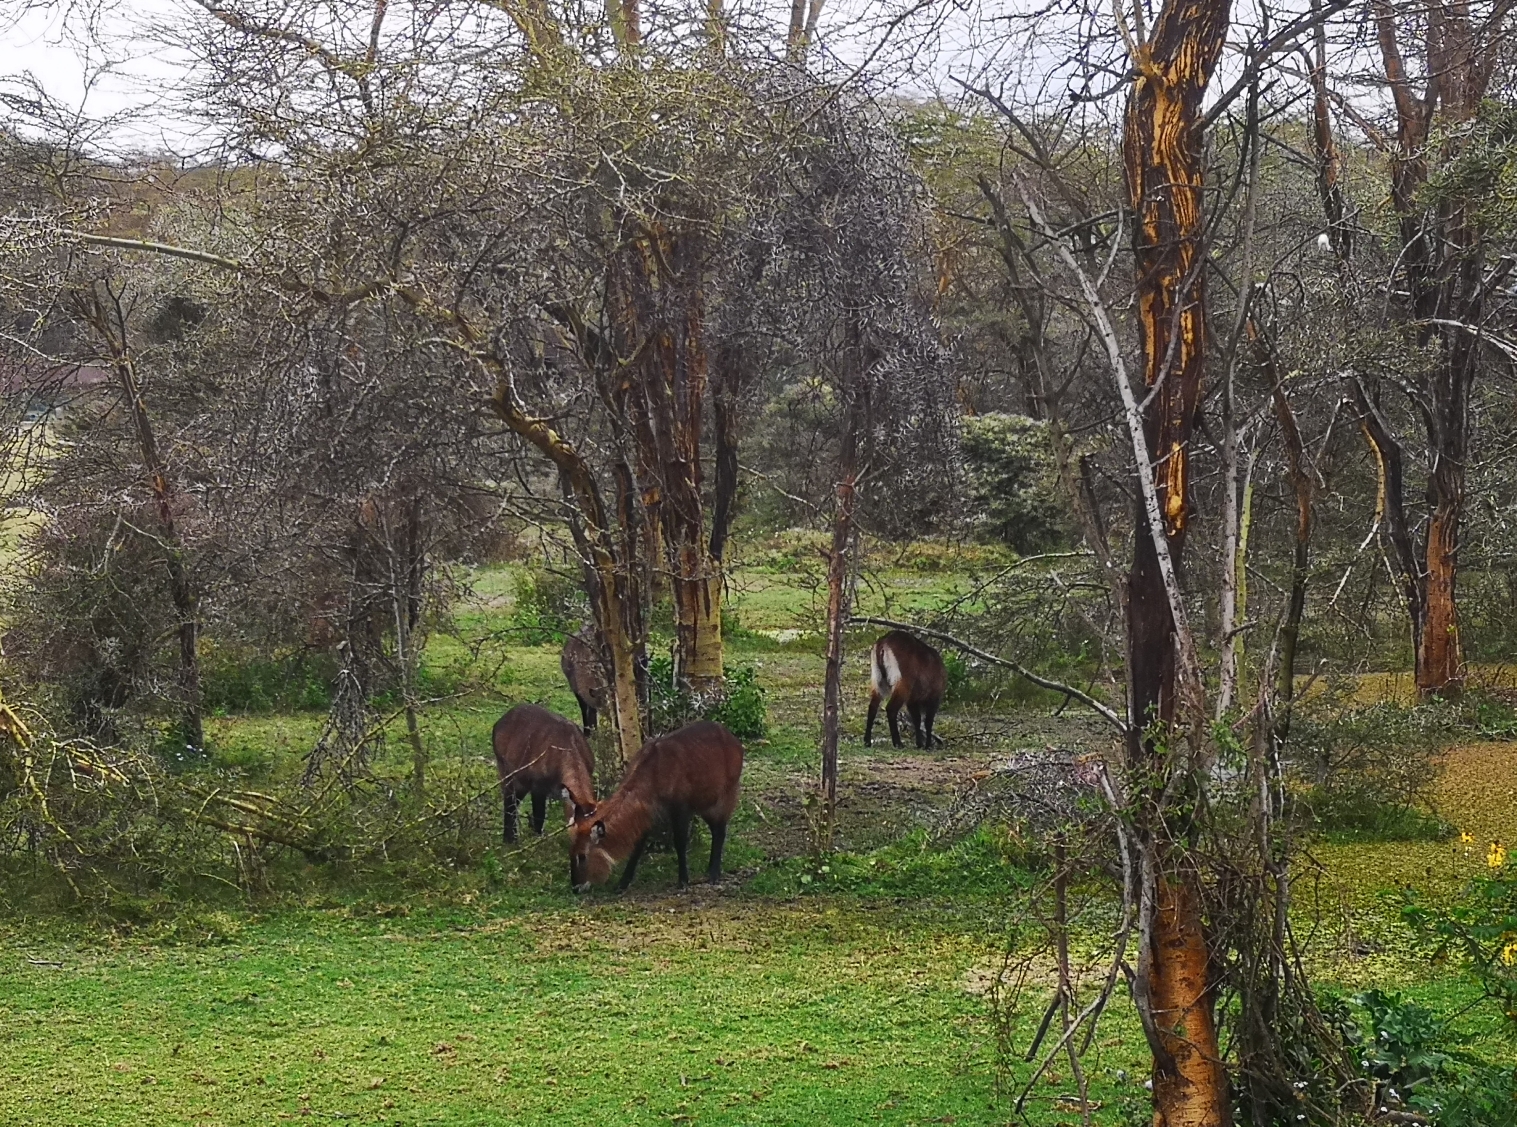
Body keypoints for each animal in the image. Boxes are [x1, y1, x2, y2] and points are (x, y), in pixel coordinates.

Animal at [494, 703, 594, 849]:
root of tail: (500, 721)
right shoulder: (538, 788)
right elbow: (539, 816)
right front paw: (539, 842)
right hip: (506, 773)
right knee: (509, 803)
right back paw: (509, 840)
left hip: (522, 782)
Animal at [567, 718, 743, 891]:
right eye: (571, 853)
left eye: (582, 856)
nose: (575, 887)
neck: (654, 771)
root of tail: (734, 740)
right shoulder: (650, 812)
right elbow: (638, 846)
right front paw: (622, 883)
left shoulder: (681, 809)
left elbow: (680, 842)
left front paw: (683, 881)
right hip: (704, 804)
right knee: (716, 829)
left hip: (723, 798)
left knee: (720, 831)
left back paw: (714, 873)